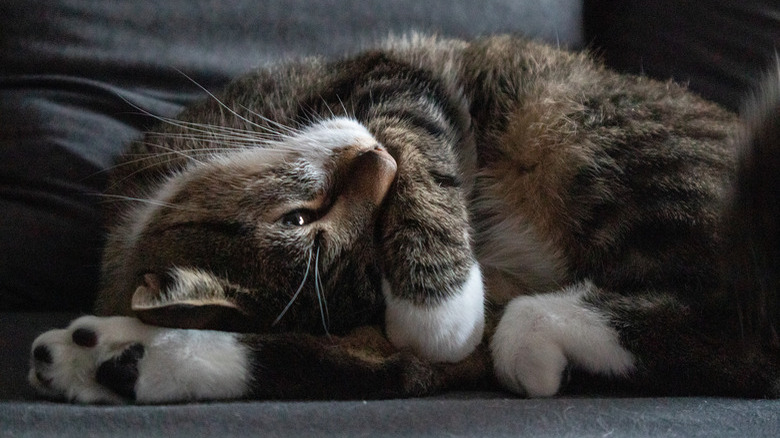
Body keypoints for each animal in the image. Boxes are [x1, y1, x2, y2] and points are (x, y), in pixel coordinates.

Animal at [27, 35, 780, 404]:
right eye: (300, 219)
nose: (374, 158)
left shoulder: (391, 73)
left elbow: (417, 131)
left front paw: (438, 308)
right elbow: (367, 364)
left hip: (576, 120)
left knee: (744, 334)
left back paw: (538, 331)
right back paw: (108, 358)